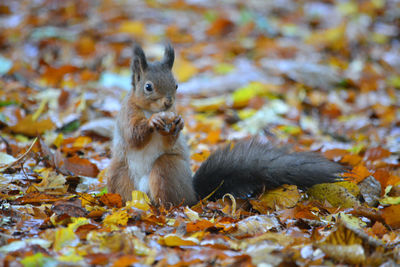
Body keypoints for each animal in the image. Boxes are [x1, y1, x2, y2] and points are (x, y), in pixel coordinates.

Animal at [106, 44, 344, 207]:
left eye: (176, 85)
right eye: (148, 87)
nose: (168, 102)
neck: (152, 110)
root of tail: (194, 194)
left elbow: (170, 140)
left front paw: (178, 124)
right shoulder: (127, 114)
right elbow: (133, 134)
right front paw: (151, 122)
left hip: (167, 168)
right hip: (120, 173)